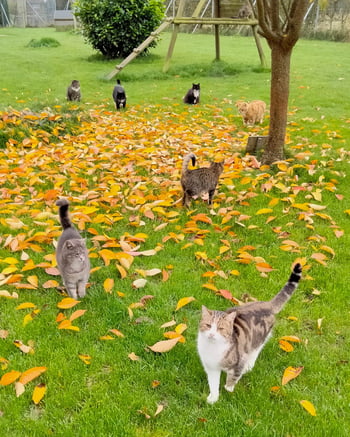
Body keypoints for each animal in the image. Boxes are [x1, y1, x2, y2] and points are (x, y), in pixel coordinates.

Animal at [198, 262, 302, 402]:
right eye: (208, 325)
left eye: (221, 328)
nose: (211, 334)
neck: (212, 349)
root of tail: (267, 304)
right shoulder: (211, 367)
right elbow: (213, 383)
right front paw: (213, 398)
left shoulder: (239, 362)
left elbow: (233, 378)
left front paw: (228, 388)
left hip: (259, 338)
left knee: (256, 350)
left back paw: (249, 365)